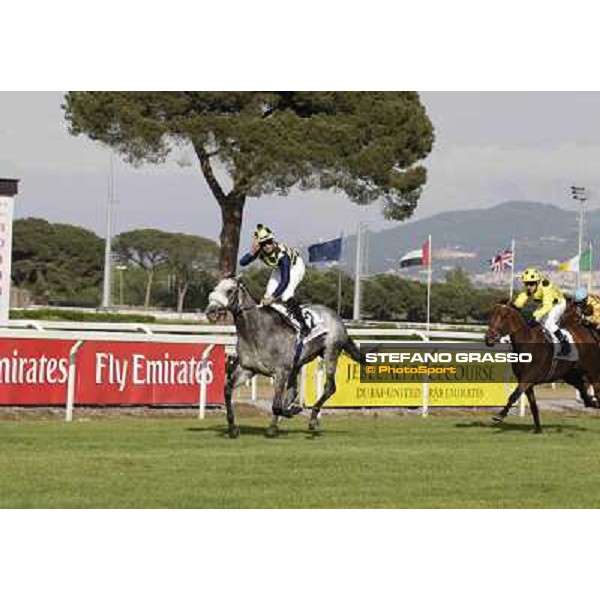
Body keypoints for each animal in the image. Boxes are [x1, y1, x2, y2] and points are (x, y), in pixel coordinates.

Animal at [204, 276, 364, 436]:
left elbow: (276, 405)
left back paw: (312, 419)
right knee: (293, 392)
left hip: (330, 352)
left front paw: (291, 412)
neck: (257, 332)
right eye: (215, 288)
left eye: (230, 290)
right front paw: (233, 428)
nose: (210, 311)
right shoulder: (248, 369)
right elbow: (227, 391)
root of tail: (336, 316)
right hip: (297, 364)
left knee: (330, 387)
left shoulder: (281, 371)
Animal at [486, 302, 596, 434]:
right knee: (582, 387)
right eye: (491, 315)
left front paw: (500, 415)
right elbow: (533, 405)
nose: (489, 338)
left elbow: (514, 395)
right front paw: (538, 429)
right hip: (569, 374)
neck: (527, 343)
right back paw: (591, 402)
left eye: (504, 317)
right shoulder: (526, 382)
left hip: (588, 368)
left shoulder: (528, 377)